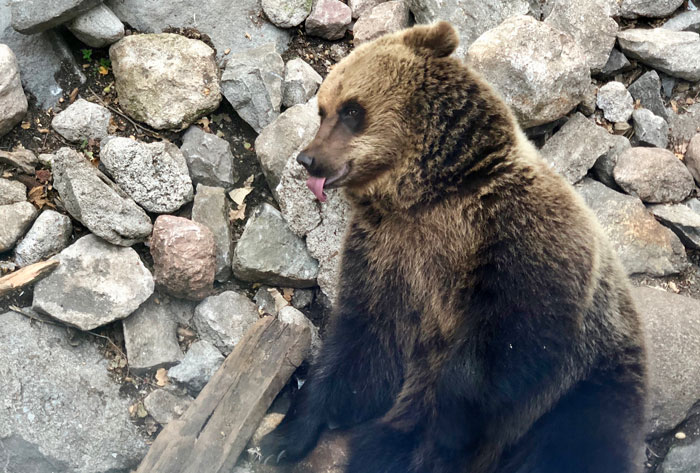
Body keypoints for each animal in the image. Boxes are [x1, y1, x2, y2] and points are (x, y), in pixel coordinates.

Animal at [261, 21, 647, 473]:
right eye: (323, 111)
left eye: (352, 110)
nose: (308, 159)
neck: (430, 193)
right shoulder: (387, 252)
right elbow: (361, 342)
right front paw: (284, 436)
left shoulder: (515, 240)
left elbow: (491, 362)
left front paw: (409, 440)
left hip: (589, 382)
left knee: (581, 441)